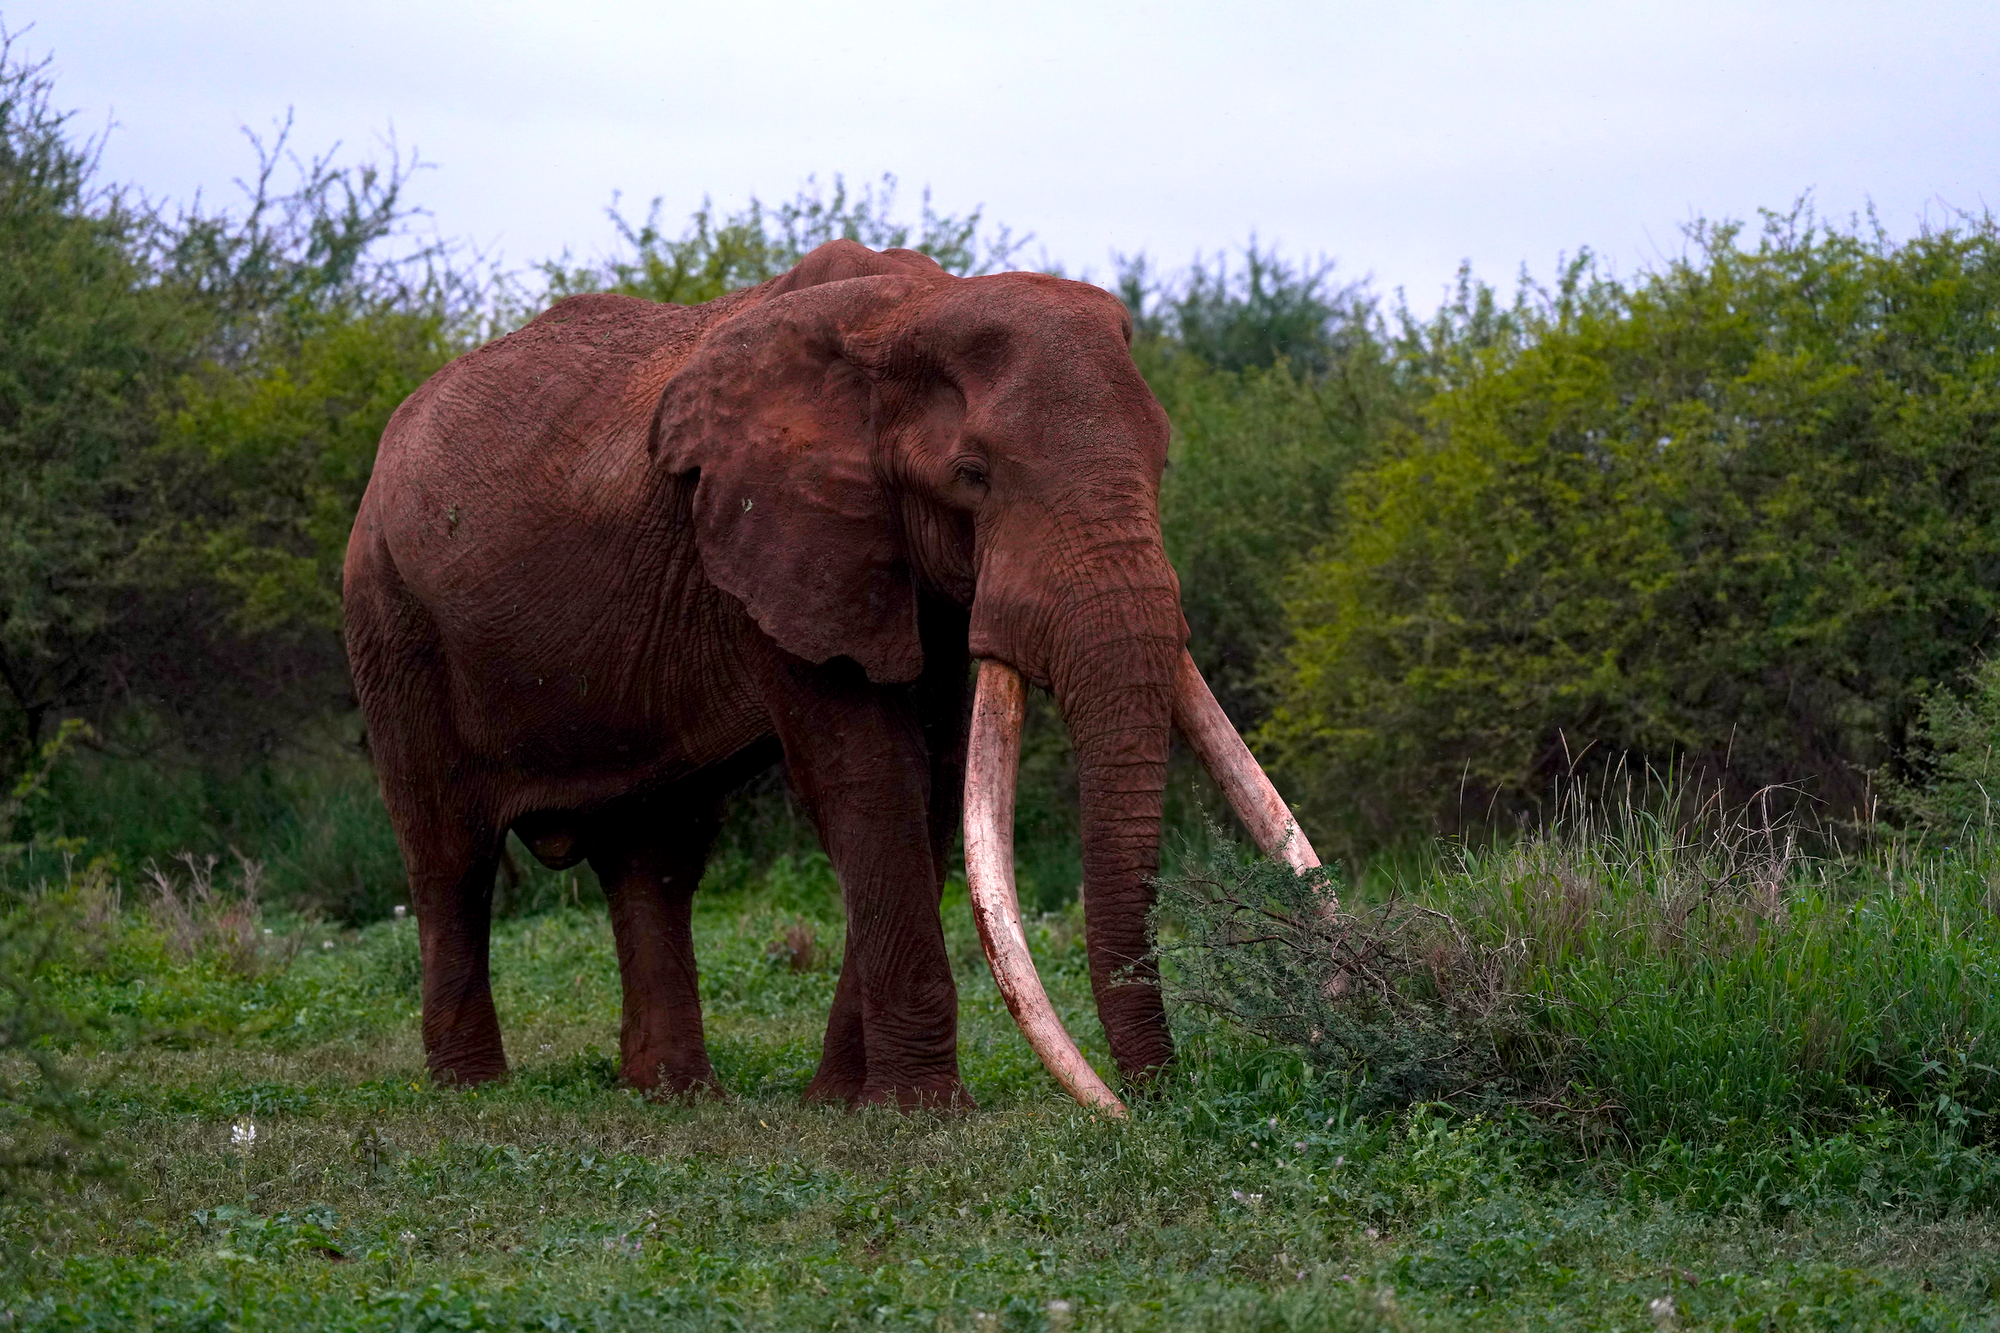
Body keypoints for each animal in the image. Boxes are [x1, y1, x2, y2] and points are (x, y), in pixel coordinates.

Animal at [344, 239, 1312, 1112]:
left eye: (1162, 462)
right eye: (973, 475)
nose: (1149, 1102)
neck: (910, 310)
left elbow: (932, 786)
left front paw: (846, 1102)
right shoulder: (770, 535)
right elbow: (870, 776)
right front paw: (919, 1109)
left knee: (655, 854)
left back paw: (673, 1093)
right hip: (391, 613)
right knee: (448, 852)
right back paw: (474, 1089)